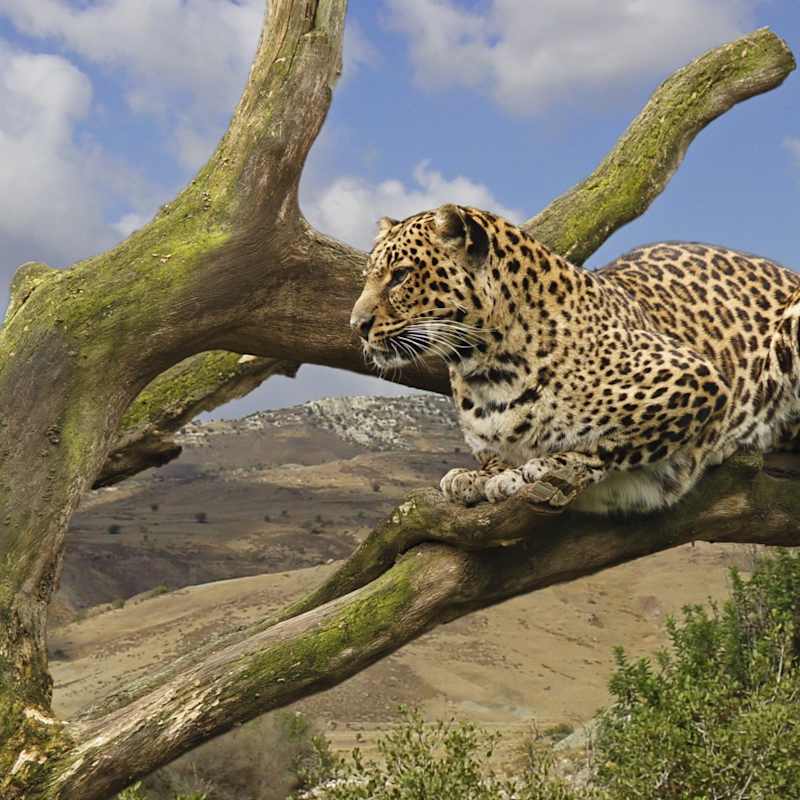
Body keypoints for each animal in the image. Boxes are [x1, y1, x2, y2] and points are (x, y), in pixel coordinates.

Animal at [350, 204, 800, 514]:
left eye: (400, 276)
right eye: (368, 278)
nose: (356, 324)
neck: (484, 368)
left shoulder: (697, 380)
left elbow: (609, 443)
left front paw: (531, 470)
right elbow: (495, 454)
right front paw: (479, 475)